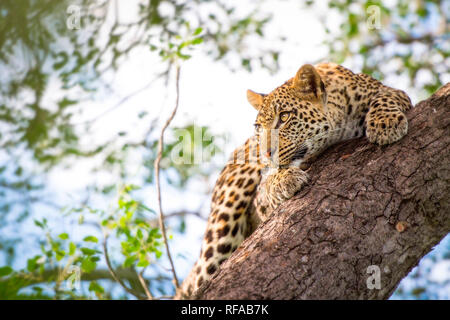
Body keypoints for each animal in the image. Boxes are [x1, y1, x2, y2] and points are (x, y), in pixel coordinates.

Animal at [175, 62, 412, 300]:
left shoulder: (390, 91)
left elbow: (385, 97)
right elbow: (267, 185)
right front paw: (285, 179)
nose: (265, 154)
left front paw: (385, 123)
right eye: (258, 127)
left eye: (284, 117)